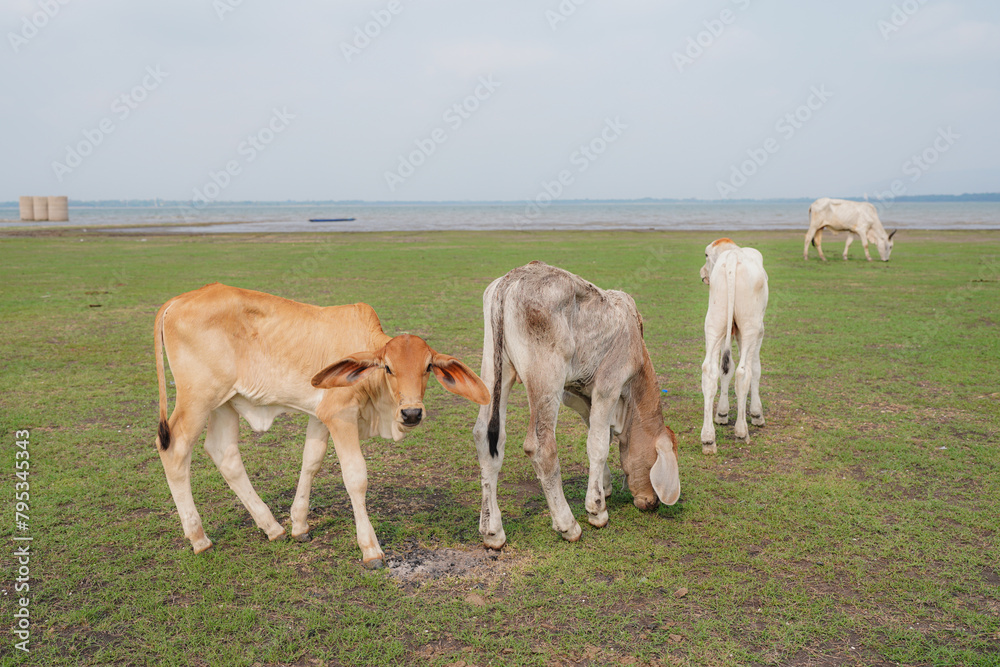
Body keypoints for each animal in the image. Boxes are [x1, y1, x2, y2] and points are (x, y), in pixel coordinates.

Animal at [153, 283, 489, 568]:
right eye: (388, 368)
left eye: (428, 367)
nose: (411, 413)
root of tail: (177, 300)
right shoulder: (340, 415)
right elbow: (355, 477)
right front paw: (370, 549)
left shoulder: (320, 415)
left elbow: (310, 461)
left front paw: (299, 525)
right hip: (197, 399)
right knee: (174, 450)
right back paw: (199, 538)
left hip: (225, 402)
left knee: (224, 452)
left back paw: (271, 527)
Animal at [471, 262, 681, 550]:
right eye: (653, 461)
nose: (651, 503)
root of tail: (514, 277)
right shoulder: (608, 386)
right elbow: (599, 445)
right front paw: (597, 509)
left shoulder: (575, 393)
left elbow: (597, 432)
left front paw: (604, 485)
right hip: (546, 377)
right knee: (541, 447)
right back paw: (568, 525)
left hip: (495, 370)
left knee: (487, 439)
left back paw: (492, 532)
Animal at [699, 239, 768, 455]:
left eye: (706, 255)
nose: (702, 273)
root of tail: (732, 257)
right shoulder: (758, 331)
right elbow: (755, 369)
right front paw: (756, 414)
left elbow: (725, 370)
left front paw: (721, 413)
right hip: (750, 327)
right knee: (743, 372)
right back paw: (741, 431)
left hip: (714, 322)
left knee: (710, 372)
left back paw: (708, 439)